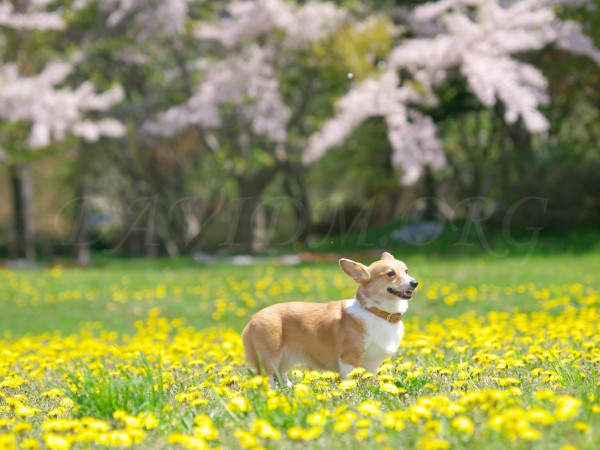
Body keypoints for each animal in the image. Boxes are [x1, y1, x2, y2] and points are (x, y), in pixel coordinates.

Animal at [240, 251, 418, 384]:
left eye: (406, 271)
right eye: (390, 274)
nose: (414, 283)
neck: (376, 312)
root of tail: (252, 319)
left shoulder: (372, 364)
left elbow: (370, 379)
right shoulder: (349, 358)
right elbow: (350, 381)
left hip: (285, 359)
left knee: (281, 377)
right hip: (268, 358)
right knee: (268, 380)